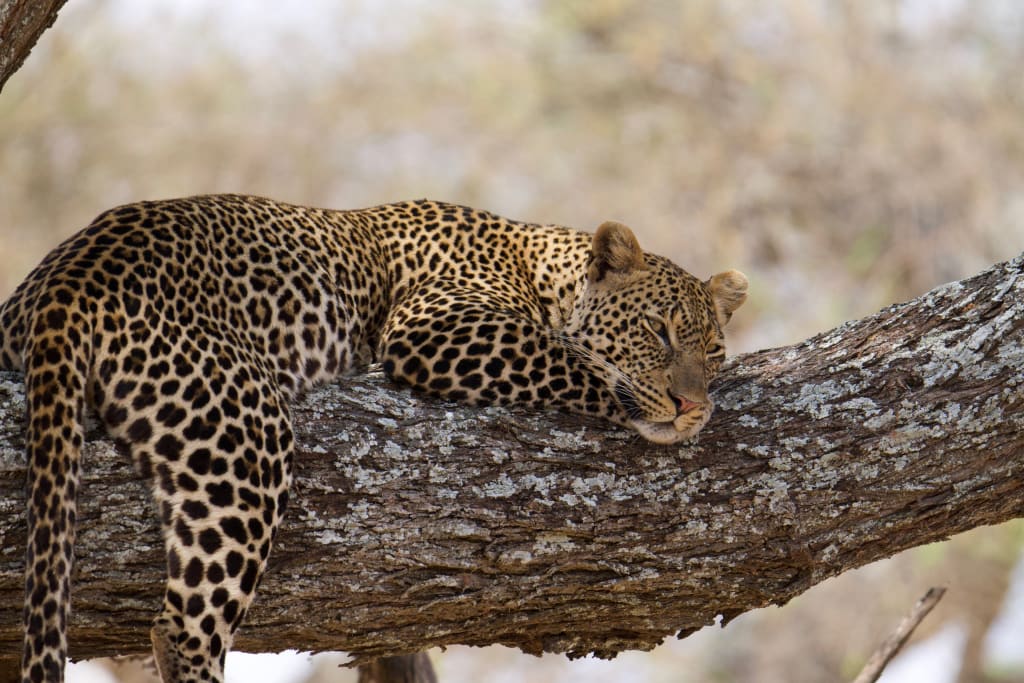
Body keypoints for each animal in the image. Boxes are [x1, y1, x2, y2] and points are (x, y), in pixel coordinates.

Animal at [0, 194, 747, 683]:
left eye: (713, 351)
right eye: (658, 330)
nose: (689, 404)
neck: (543, 267)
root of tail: (68, 276)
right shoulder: (441, 328)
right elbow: (572, 359)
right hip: (244, 439)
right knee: (183, 629)